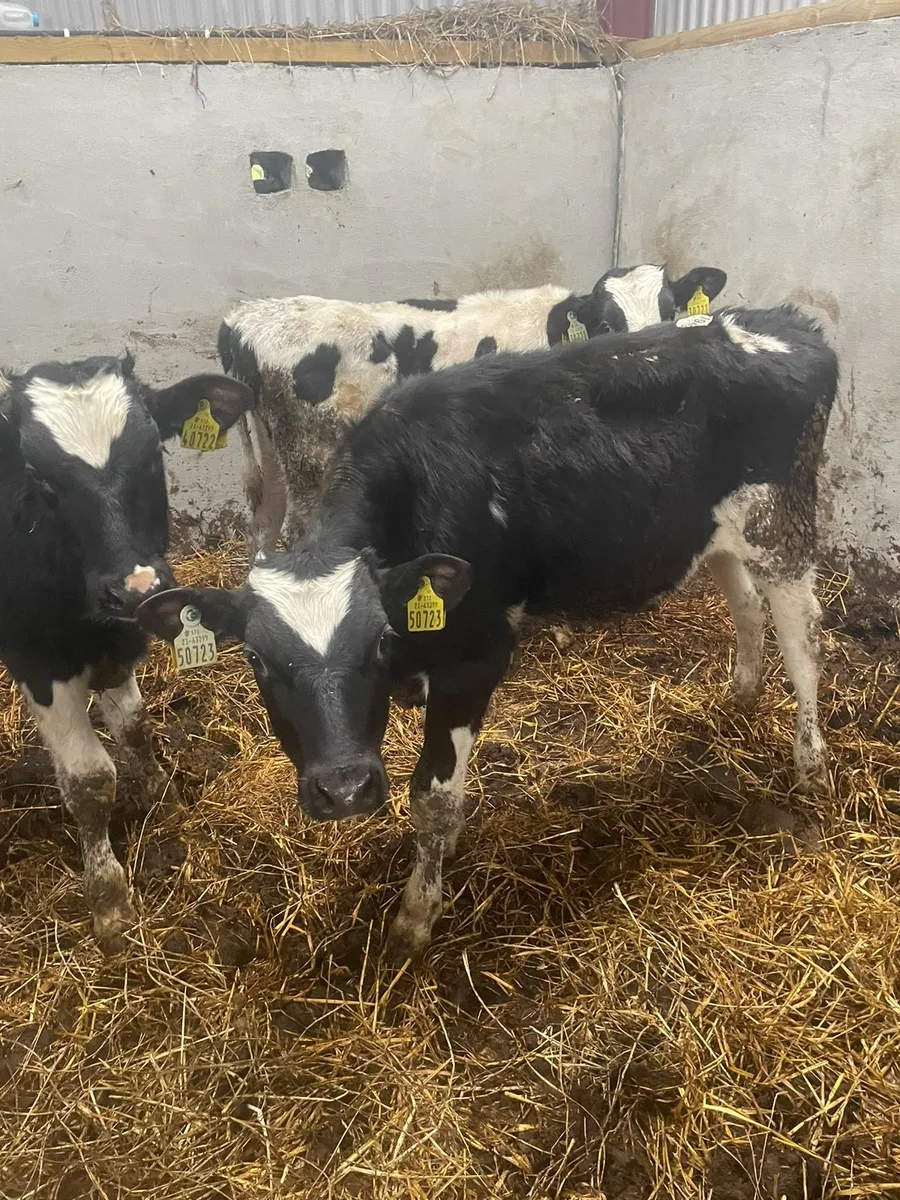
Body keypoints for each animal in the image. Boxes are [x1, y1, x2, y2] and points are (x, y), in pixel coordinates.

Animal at [0, 354, 253, 953]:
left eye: (154, 452)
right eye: (39, 480)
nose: (136, 587)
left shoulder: (125, 642)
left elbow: (136, 727)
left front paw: (166, 800)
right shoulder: (39, 663)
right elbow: (90, 780)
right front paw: (110, 903)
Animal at [138, 304, 831, 962]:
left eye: (379, 641)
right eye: (257, 659)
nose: (345, 789)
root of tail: (781, 321)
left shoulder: (474, 660)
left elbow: (432, 797)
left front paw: (417, 915)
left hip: (783, 524)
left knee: (805, 643)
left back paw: (811, 767)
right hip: (714, 531)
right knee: (745, 602)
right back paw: (741, 695)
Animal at [219, 264, 727, 554]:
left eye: (670, 311)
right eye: (606, 323)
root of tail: (244, 317)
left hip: (272, 449)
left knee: (263, 523)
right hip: (310, 454)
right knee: (294, 531)